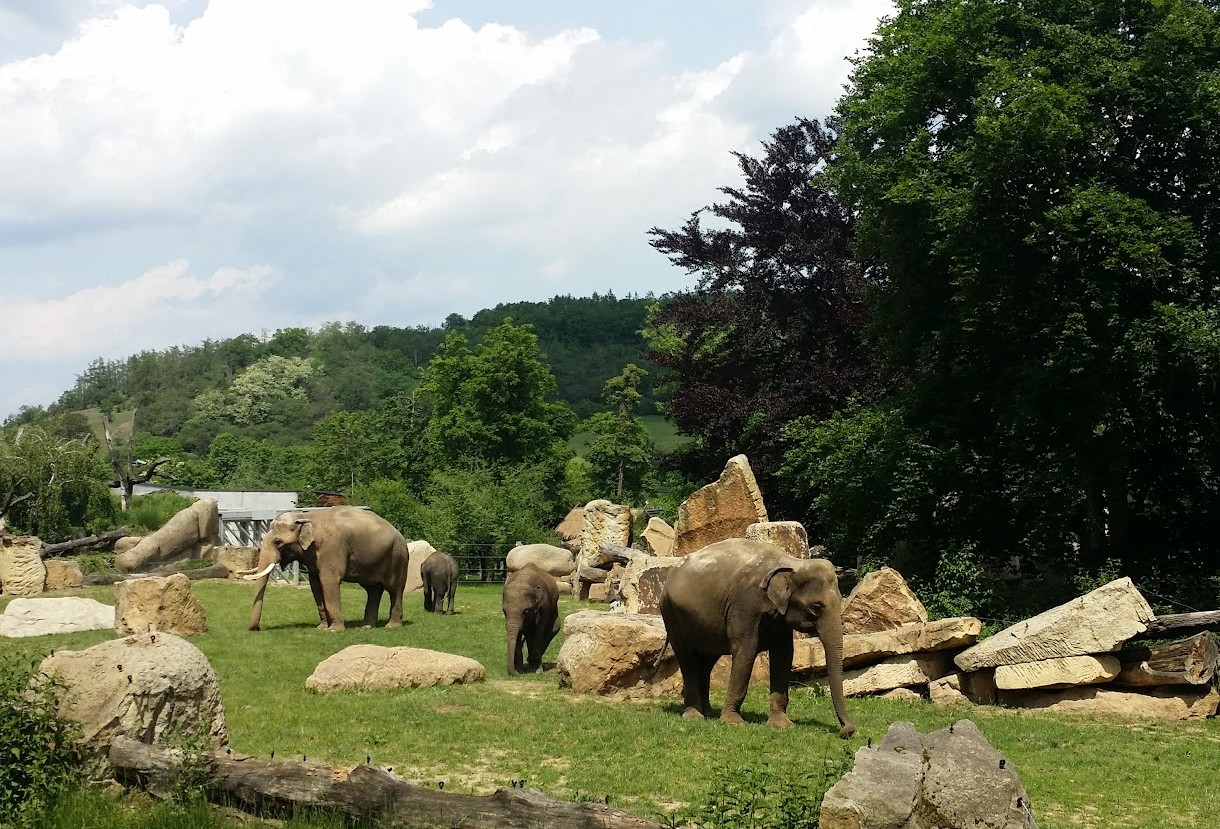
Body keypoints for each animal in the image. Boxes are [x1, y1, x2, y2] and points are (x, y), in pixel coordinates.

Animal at [242, 506, 410, 632]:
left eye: (278, 542)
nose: (257, 629)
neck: (306, 517)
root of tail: (399, 533)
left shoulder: (332, 547)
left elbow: (329, 580)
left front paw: (334, 630)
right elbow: (315, 583)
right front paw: (321, 628)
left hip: (398, 556)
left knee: (394, 589)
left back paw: (391, 626)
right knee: (373, 590)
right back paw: (366, 627)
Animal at [658, 538, 855, 737]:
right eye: (816, 607)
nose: (846, 731)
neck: (792, 563)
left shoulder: (780, 618)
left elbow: (783, 655)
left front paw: (782, 725)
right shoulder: (745, 604)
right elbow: (746, 650)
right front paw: (734, 723)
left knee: (706, 662)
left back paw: (709, 713)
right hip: (671, 615)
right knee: (688, 660)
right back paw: (694, 716)